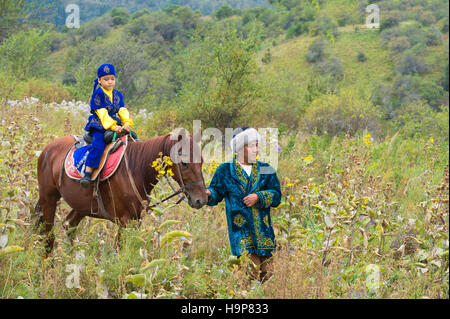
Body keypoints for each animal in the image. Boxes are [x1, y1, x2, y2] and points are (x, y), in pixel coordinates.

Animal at [34, 129, 208, 252]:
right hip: (49, 199)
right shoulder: (125, 222)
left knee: (69, 226)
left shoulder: (136, 221)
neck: (136, 169)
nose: (201, 199)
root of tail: (47, 150)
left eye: (201, 161)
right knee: (48, 236)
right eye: (184, 163)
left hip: (81, 206)